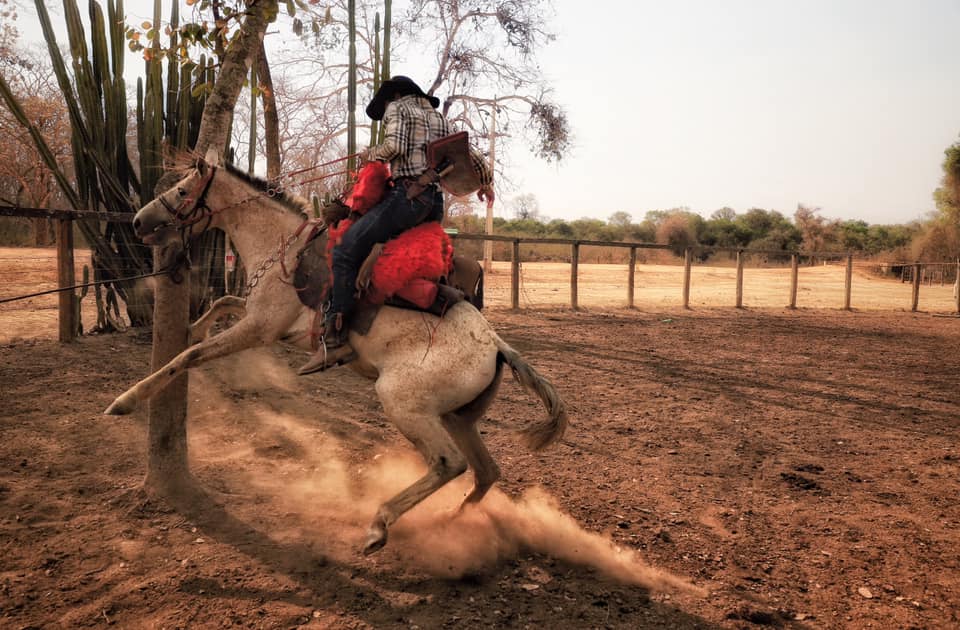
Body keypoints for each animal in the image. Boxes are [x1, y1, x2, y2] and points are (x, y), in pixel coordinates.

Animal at [107, 153, 568, 556]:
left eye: (183, 190)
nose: (139, 221)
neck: (283, 249)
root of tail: (497, 346)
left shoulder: (260, 328)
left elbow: (188, 356)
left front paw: (125, 400)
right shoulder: (265, 320)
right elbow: (222, 302)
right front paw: (192, 326)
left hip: (404, 405)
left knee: (448, 463)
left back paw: (379, 526)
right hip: (458, 417)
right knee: (486, 471)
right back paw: (452, 522)